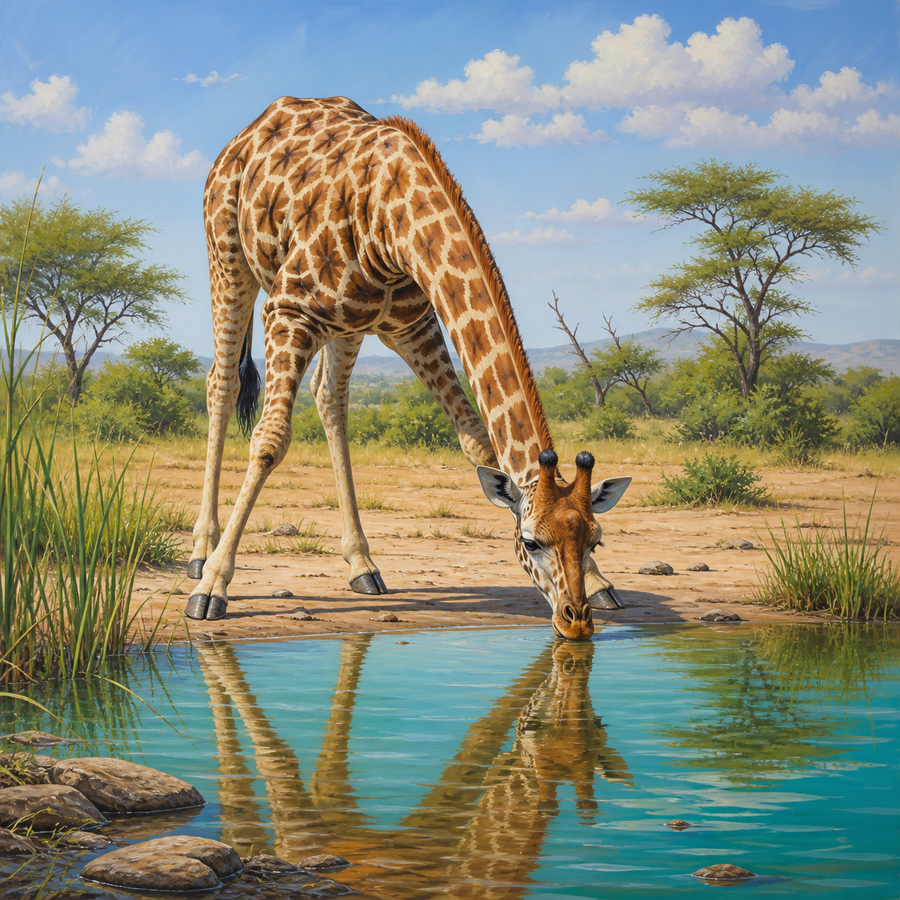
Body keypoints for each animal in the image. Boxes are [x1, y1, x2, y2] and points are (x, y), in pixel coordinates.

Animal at [186, 96, 631, 640]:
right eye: (530, 542)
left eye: (595, 539)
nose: (576, 621)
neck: (393, 221)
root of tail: (243, 136)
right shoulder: (289, 310)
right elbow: (270, 442)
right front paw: (212, 587)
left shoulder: (414, 325)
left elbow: (477, 442)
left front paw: (603, 584)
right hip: (228, 259)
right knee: (222, 382)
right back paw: (200, 553)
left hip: (348, 324)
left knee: (330, 399)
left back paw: (362, 566)